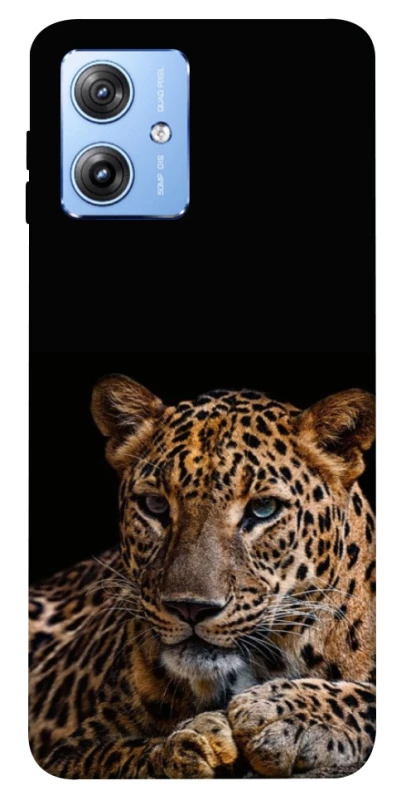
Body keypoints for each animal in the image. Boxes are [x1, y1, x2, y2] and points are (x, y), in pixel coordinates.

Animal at [29, 374, 376, 778]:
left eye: (263, 508)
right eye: (155, 506)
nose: (191, 608)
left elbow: (368, 697)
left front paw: (280, 713)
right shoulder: (68, 753)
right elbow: (121, 757)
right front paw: (189, 746)